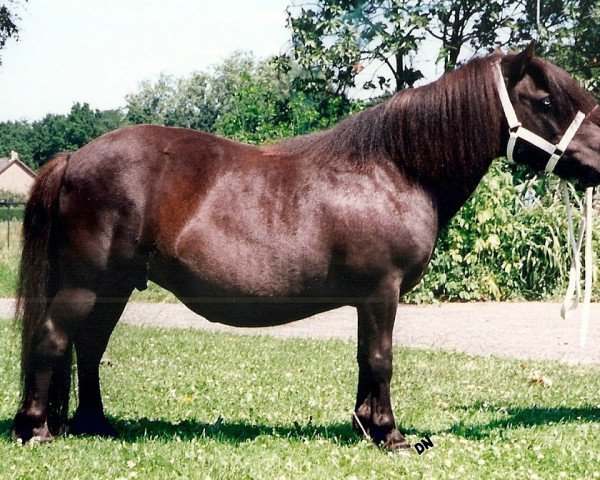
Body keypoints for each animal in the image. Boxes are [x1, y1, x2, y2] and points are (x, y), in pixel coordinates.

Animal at [10, 45, 600, 450]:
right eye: (546, 100)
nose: (598, 163)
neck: (394, 170)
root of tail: (75, 158)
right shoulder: (383, 292)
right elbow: (381, 358)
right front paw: (390, 436)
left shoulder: (368, 298)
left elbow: (366, 358)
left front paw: (366, 425)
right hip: (85, 285)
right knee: (52, 338)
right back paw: (37, 429)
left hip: (115, 288)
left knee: (88, 348)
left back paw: (94, 424)